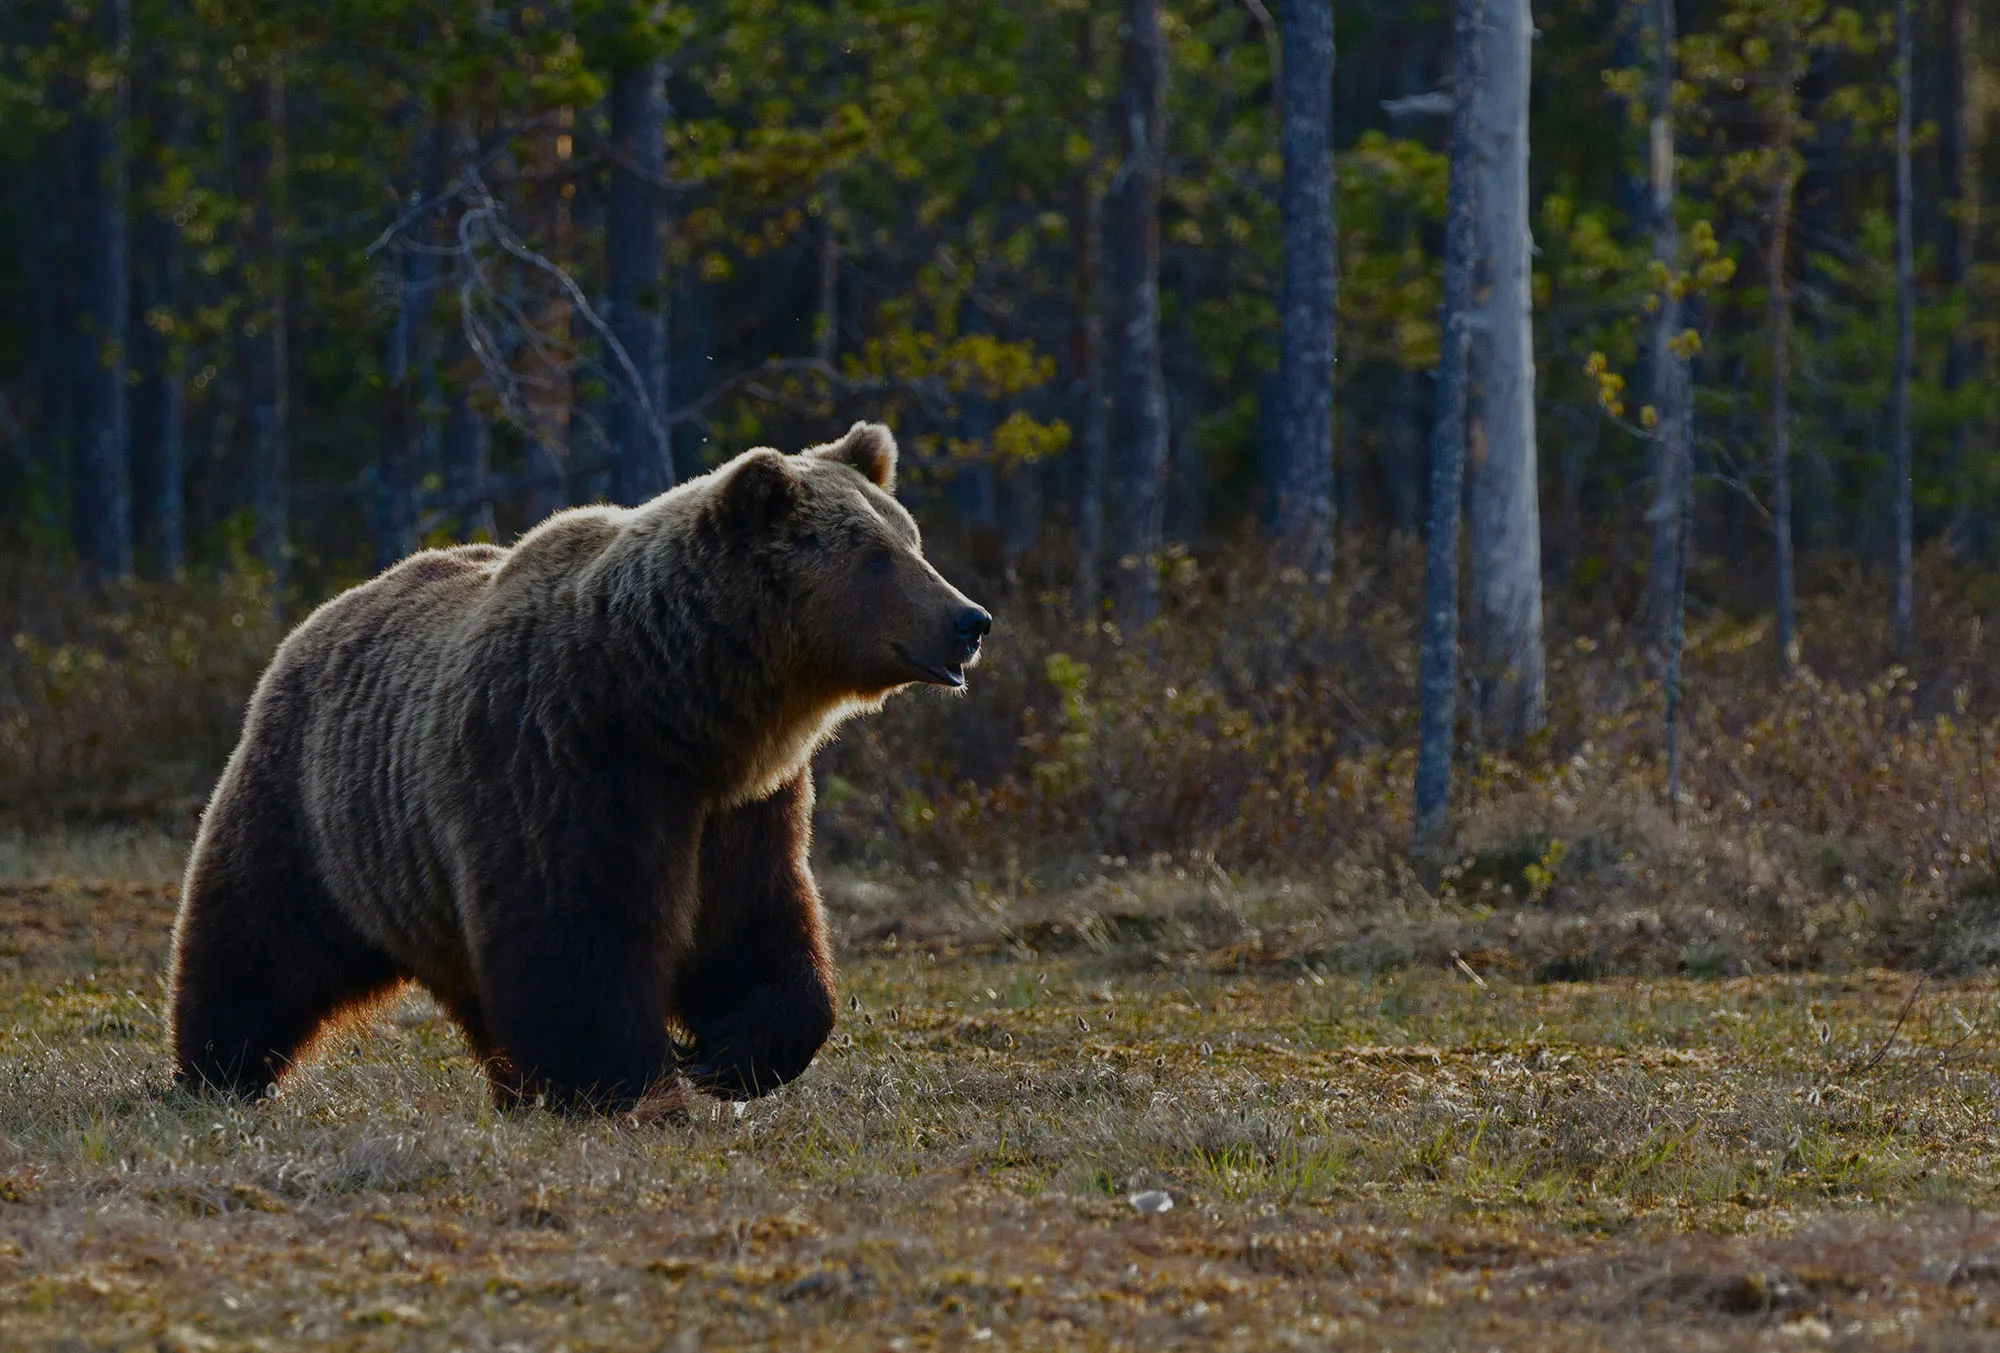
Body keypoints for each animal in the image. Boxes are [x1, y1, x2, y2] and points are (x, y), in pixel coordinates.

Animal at [167, 422, 989, 1111]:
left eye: (911, 539)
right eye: (875, 556)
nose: (969, 619)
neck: (676, 707)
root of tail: (320, 615)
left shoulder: (744, 805)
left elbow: (755, 924)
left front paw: (730, 1054)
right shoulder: (564, 761)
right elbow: (578, 934)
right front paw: (630, 1083)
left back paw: (512, 1086)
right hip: (316, 810)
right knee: (257, 939)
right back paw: (218, 1069)